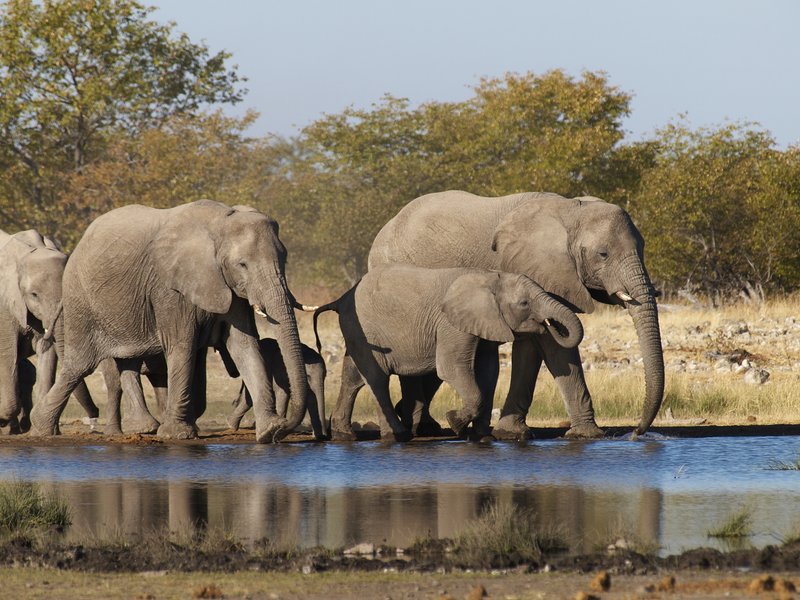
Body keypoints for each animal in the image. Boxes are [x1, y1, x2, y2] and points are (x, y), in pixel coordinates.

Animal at [0, 229, 99, 433]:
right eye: (34, 295)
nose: (95, 415)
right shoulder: (4, 305)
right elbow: (7, 355)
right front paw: (4, 422)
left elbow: (47, 352)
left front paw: (41, 433)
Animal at [29, 200, 308, 443]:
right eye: (242, 265)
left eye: (284, 258)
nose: (284, 428)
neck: (220, 222)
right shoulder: (169, 289)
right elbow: (182, 345)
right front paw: (177, 435)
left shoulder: (226, 285)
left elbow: (244, 346)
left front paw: (269, 431)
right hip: (81, 300)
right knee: (80, 364)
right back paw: (42, 428)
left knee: (125, 360)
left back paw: (144, 428)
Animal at [313, 265, 583, 441]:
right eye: (524, 304)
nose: (549, 325)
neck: (489, 277)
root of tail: (341, 299)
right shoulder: (450, 323)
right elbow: (452, 368)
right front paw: (454, 422)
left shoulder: (483, 321)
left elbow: (488, 371)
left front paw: (482, 436)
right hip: (365, 330)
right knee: (377, 379)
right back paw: (397, 436)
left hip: (356, 332)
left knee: (353, 378)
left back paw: (344, 435)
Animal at [368, 191, 664, 440]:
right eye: (603, 254)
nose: (636, 433)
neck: (571, 211)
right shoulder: (535, 268)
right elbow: (553, 344)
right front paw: (588, 435)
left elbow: (534, 345)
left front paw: (511, 433)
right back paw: (419, 427)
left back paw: (422, 423)